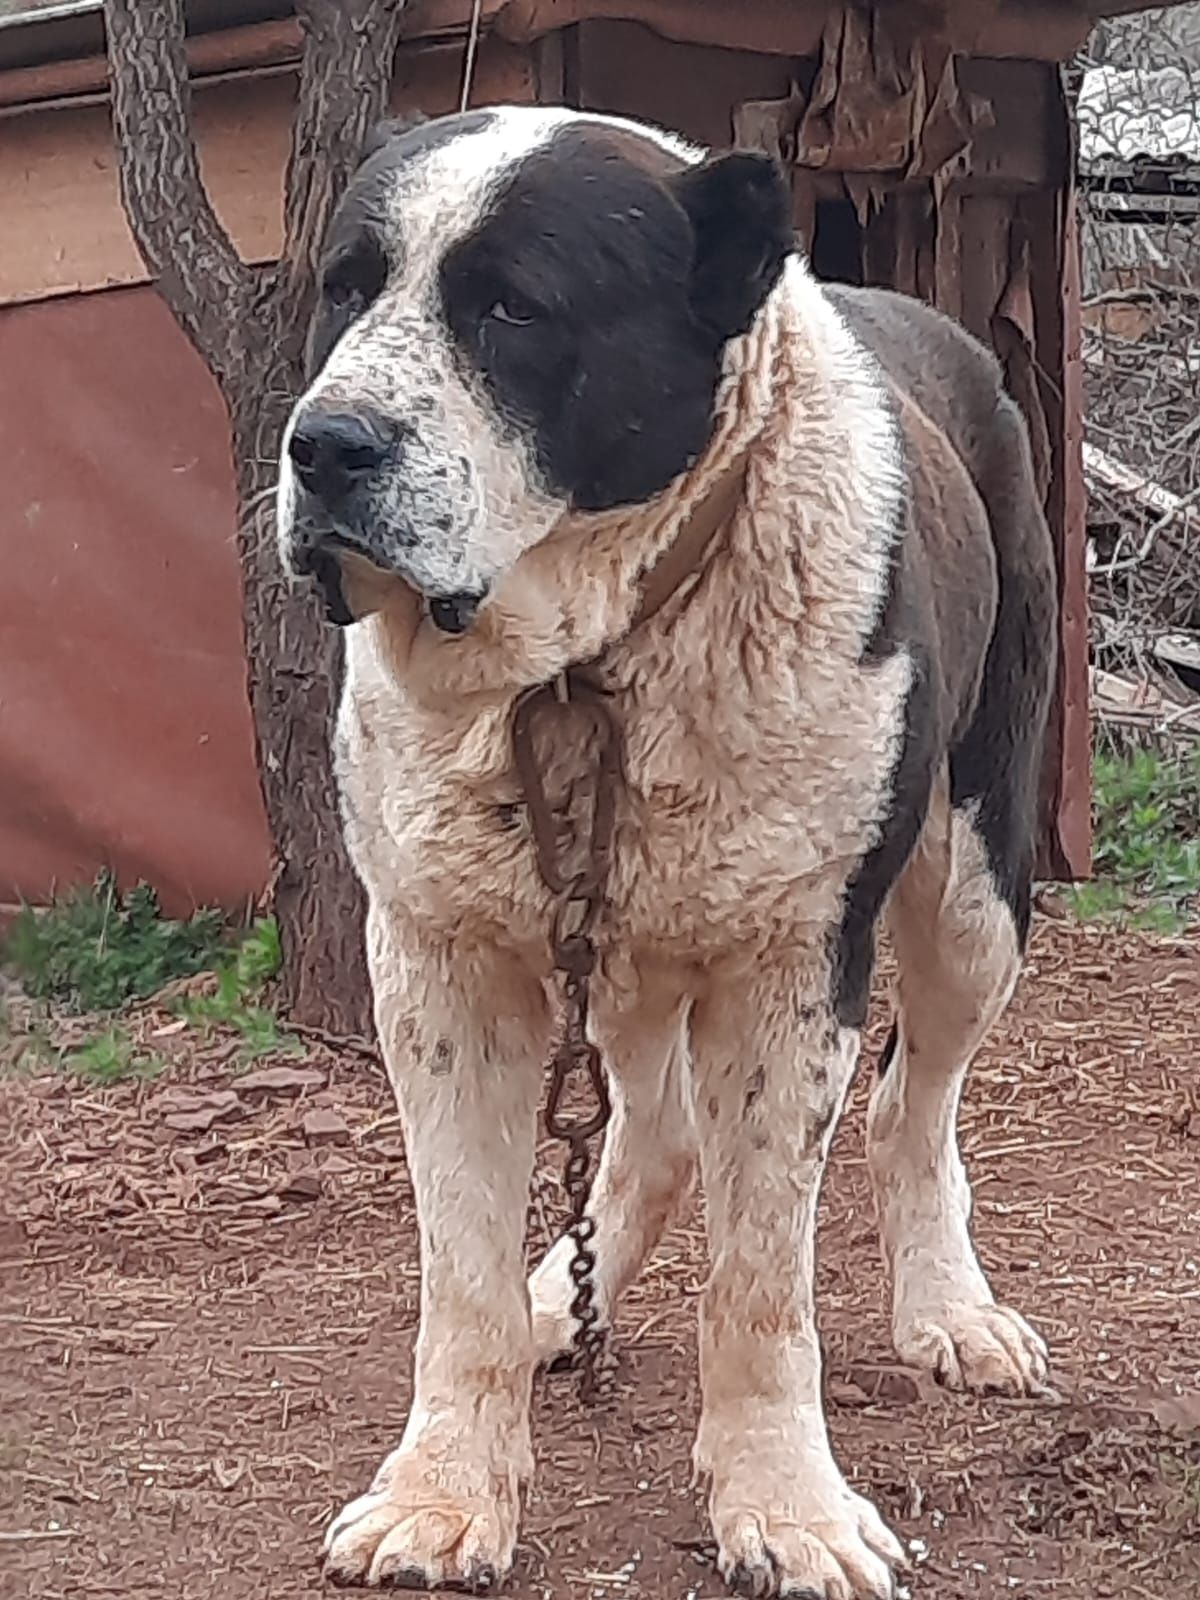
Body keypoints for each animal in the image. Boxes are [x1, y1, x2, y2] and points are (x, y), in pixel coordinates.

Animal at [276, 109, 1056, 1600]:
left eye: (512, 307)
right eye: (345, 290)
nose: (323, 445)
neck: (591, 660)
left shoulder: (791, 966)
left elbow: (760, 1286)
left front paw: (787, 1506)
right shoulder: (440, 966)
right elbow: (457, 1268)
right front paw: (444, 1489)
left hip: (973, 892)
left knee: (909, 1108)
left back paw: (952, 1310)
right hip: (628, 949)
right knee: (655, 1135)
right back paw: (555, 1303)